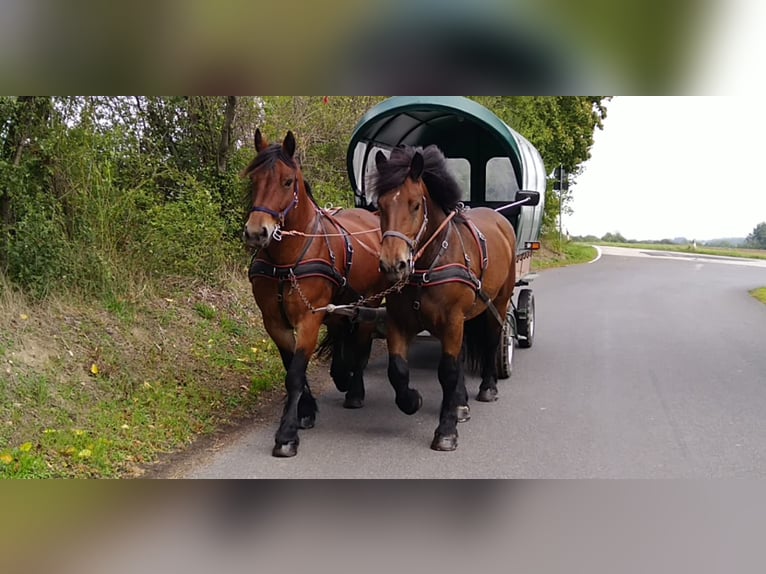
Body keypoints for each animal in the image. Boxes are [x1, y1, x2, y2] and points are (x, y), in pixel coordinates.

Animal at [244, 129, 390, 460]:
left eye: (287, 181)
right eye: (253, 179)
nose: (256, 232)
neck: (285, 261)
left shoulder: (308, 319)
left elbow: (296, 373)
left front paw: (286, 435)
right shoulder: (274, 322)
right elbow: (291, 367)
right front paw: (306, 411)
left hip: (371, 301)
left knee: (361, 344)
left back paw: (355, 389)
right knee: (341, 332)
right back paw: (340, 373)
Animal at [370, 147, 520, 454]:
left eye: (415, 205)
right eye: (380, 205)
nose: (393, 264)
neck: (427, 265)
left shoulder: (452, 321)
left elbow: (448, 371)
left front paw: (446, 430)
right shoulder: (398, 322)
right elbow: (397, 370)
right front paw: (412, 400)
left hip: (497, 303)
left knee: (491, 340)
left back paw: (488, 388)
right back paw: (460, 402)